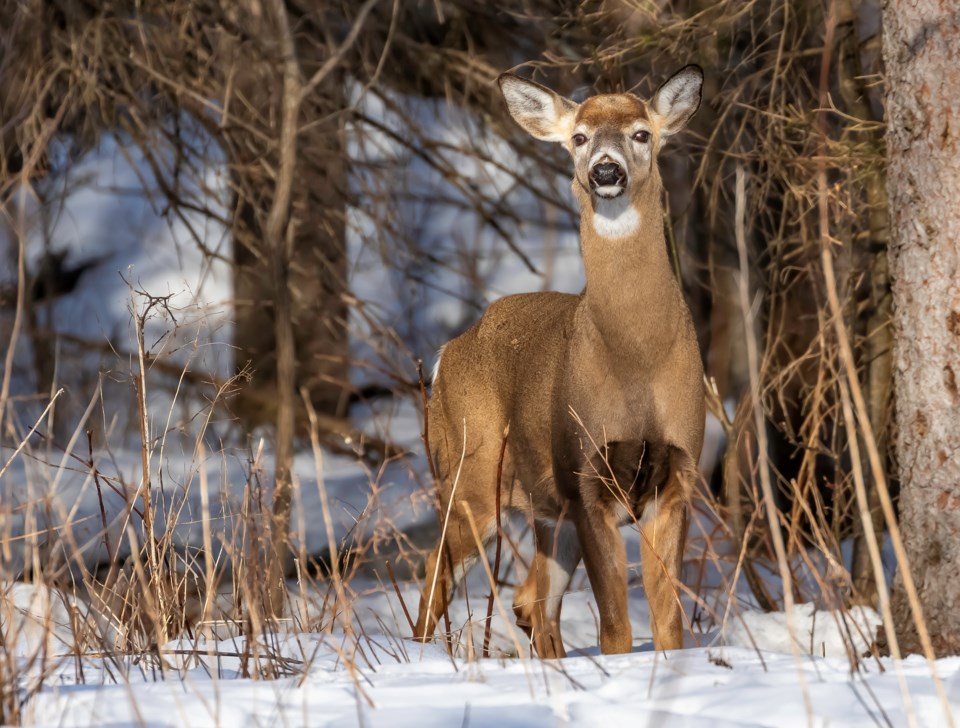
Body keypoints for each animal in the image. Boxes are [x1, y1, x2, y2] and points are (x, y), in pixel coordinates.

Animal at [412, 67, 704, 660]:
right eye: (580, 137)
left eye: (642, 133)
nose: (606, 170)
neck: (636, 363)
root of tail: (449, 351)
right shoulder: (584, 474)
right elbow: (615, 629)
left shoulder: (679, 473)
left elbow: (668, 622)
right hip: (471, 469)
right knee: (437, 568)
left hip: (544, 507)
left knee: (529, 599)